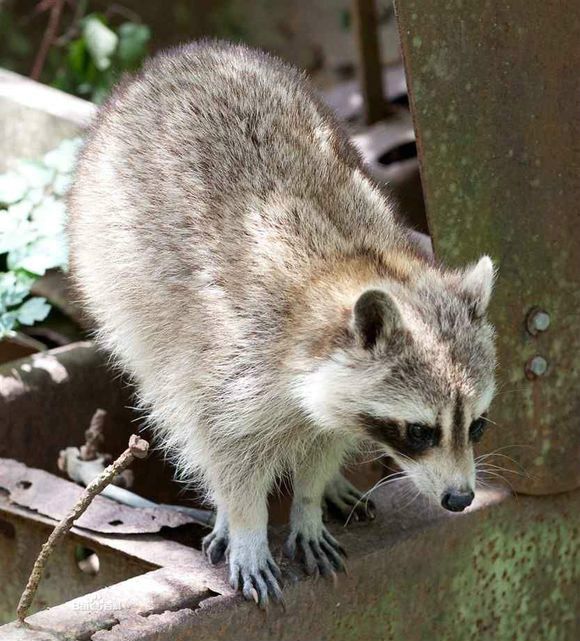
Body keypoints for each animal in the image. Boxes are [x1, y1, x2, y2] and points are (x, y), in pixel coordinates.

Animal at [67, 40, 494, 604]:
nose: (459, 499)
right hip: (117, 278)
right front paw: (245, 522)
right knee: (169, 395)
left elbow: (323, 442)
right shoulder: (229, 362)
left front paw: (310, 500)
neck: (346, 270)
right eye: (420, 432)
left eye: (477, 424)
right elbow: (222, 446)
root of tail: (184, 53)